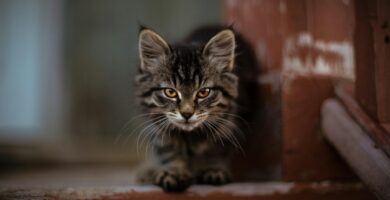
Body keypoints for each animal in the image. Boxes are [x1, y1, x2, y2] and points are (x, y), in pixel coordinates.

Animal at [136, 25, 258, 191]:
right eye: (170, 92)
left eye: (203, 92)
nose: (187, 113)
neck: (190, 136)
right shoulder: (158, 125)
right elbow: (169, 150)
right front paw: (176, 171)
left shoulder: (229, 122)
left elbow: (217, 149)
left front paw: (212, 169)